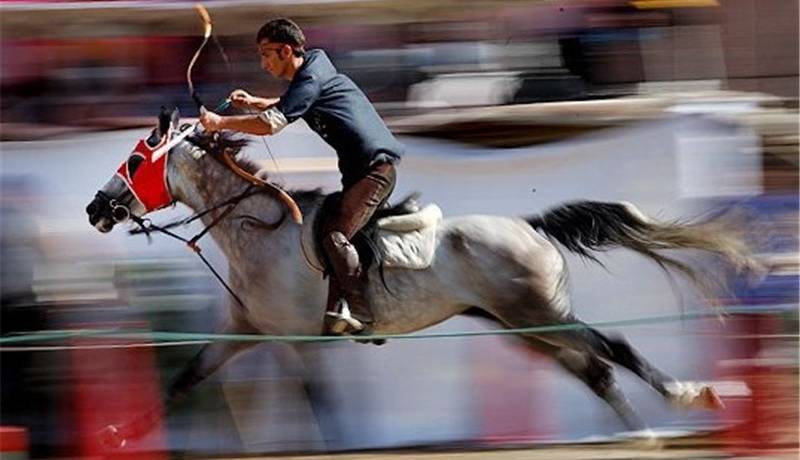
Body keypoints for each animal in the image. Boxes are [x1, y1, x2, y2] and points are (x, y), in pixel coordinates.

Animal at [87, 107, 756, 446]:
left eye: (136, 160)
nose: (97, 207)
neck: (259, 231)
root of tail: (531, 227)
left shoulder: (297, 339)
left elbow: (321, 402)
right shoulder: (245, 331)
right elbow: (184, 379)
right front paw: (119, 432)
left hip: (541, 313)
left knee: (612, 347)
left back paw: (688, 396)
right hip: (522, 325)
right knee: (595, 371)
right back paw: (642, 435)